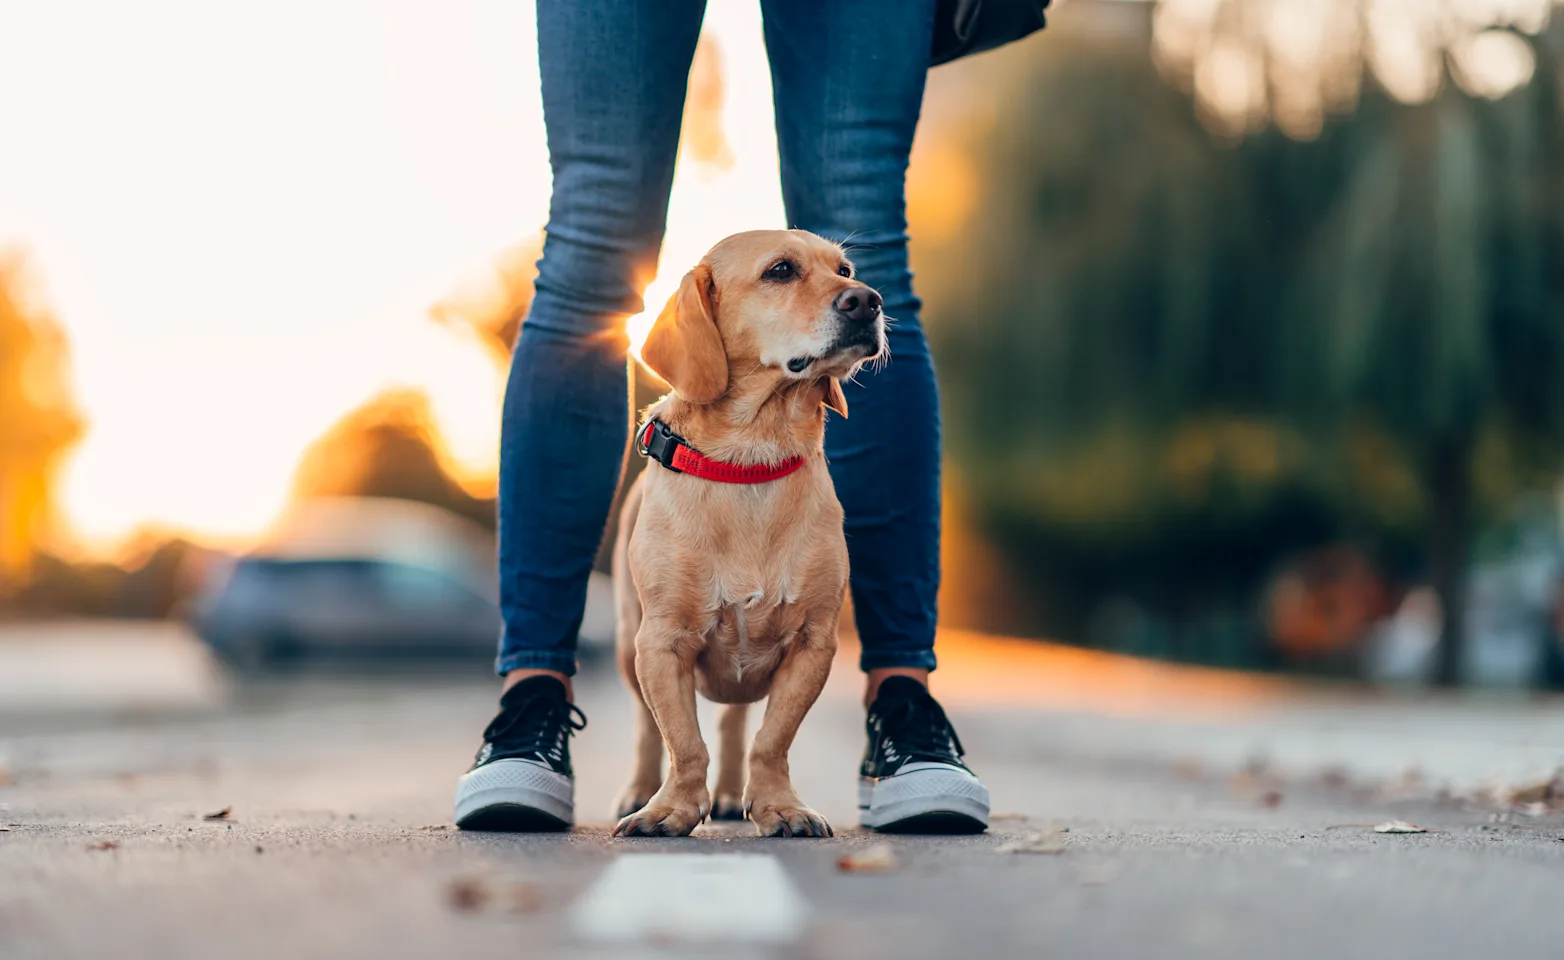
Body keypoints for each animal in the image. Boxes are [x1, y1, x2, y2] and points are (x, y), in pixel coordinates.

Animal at [606, 229, 882, 838]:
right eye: (780, 271)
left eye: (845, 269)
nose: (869, 301)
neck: (751, 461)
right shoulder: (661, 644)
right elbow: (683, 741)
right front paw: (671, 809)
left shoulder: (813, 643)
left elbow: (770, 740)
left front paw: (779, 806)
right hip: (628, 646)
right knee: (646, 728)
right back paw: (637, 790)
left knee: (734, 725)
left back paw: (733, 795)